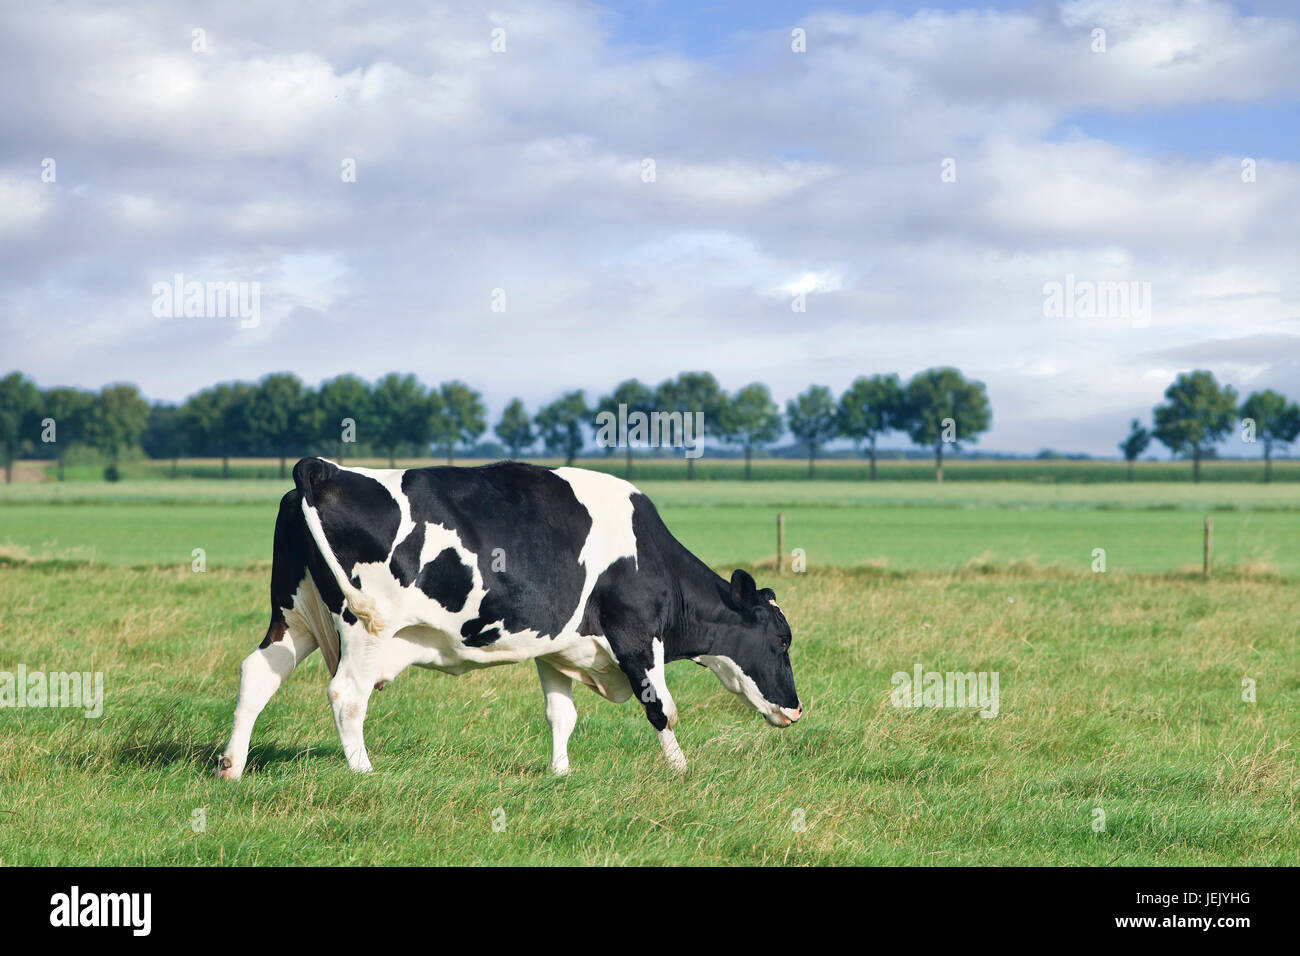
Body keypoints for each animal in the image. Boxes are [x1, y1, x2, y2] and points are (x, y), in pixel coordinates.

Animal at [218, 460, 795, 780]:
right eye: (782, 640)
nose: (796, 707)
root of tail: (323, 471)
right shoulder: (636, 636)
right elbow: (662, 710)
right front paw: (680, 770)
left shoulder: (558, 647)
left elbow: (562, 715)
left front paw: (560, 774)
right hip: (365, 626)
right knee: (347, 696)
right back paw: (363, 771)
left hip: (292, 615)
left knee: (258, 674)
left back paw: (232, 768)